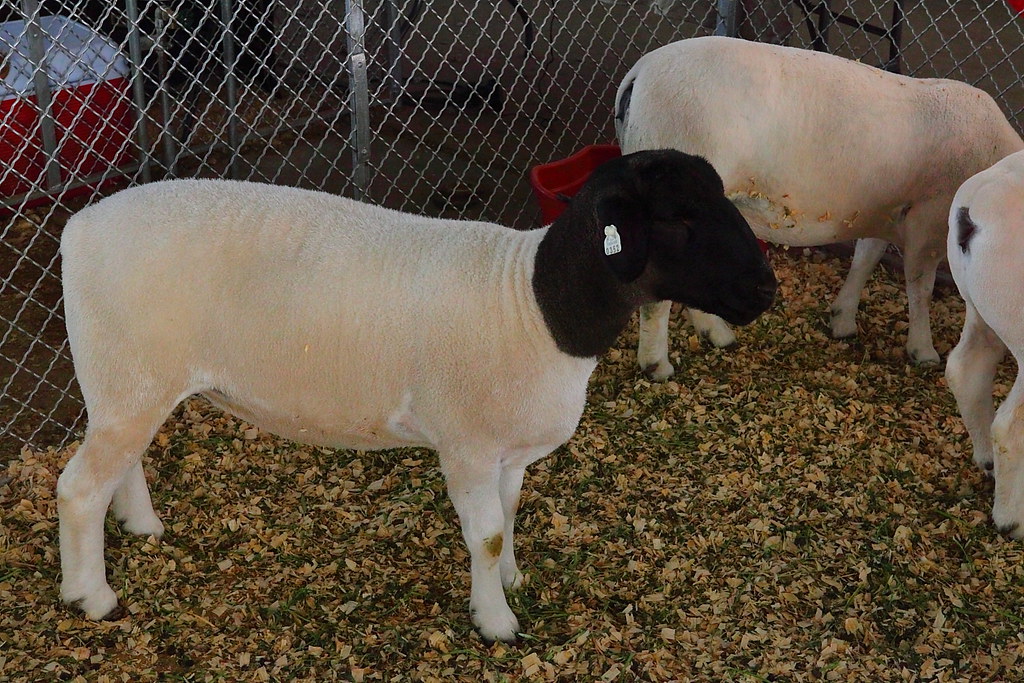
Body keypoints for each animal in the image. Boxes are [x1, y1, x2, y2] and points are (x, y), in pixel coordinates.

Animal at [56, 149, 776, 643]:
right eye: (679, 220)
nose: (767, 290)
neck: (532, 303)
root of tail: (78, 226)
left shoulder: (507, 450)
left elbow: (509, 514)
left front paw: (510, 581)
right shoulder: (465, 444)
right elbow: (486, 534)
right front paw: (495, 620)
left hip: (129, 380)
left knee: (121, 460)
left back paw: (142, 526)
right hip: (129, 374)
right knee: (78, 487)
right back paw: (91, 596)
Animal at [615, 35, 1024, 380]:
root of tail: (639, 73)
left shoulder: (883, 209)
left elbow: (866, 257)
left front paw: (842, 319)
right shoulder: (930, 219)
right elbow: (919, 284)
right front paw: (922, 350)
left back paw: (714, 332)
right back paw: (657, 365)